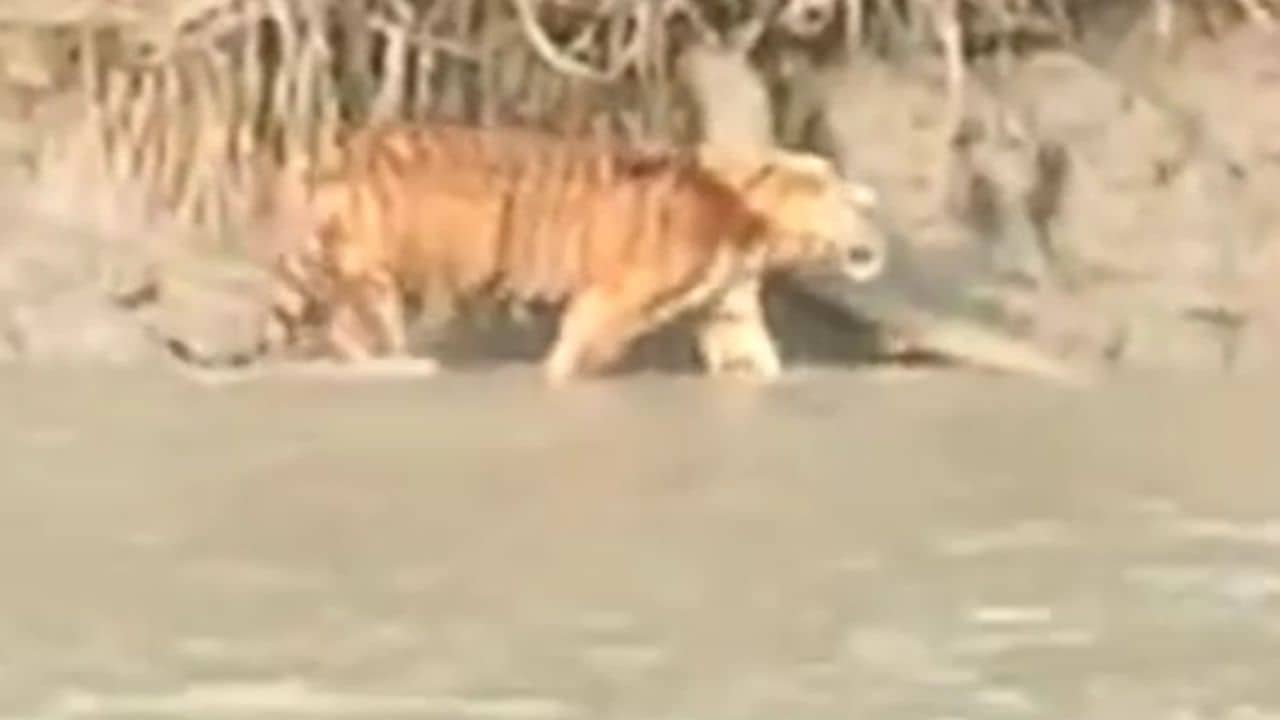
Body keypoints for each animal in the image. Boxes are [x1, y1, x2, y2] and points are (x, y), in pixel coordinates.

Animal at [262, 122, 887, 384]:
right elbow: (576, 353)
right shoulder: (613, 298)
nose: (878, 242)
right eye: (847, 205)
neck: (752, 223)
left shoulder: (727, 305)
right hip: (375, 278)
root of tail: (332, 157)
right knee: (361, 335)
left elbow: (758, 356)